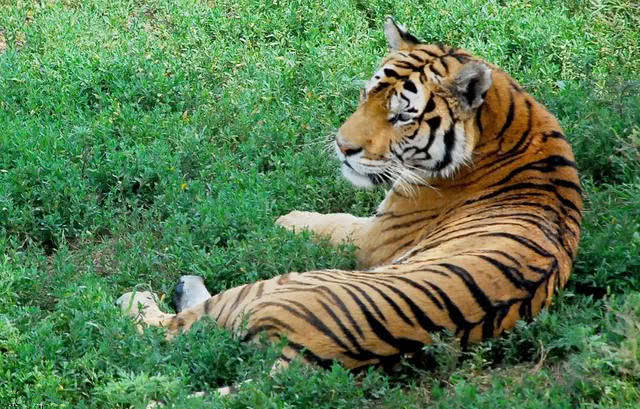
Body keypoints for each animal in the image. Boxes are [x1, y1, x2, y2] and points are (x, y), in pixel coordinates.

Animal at [117, 17, 584, 388]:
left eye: (403, 115)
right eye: (366, 96)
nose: (343, 147)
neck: (509, 122)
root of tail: (316, 360)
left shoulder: (377, 236)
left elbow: (334, 222)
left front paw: (287, 218)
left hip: (272, 288)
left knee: (167, 327)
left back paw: (142, 296)